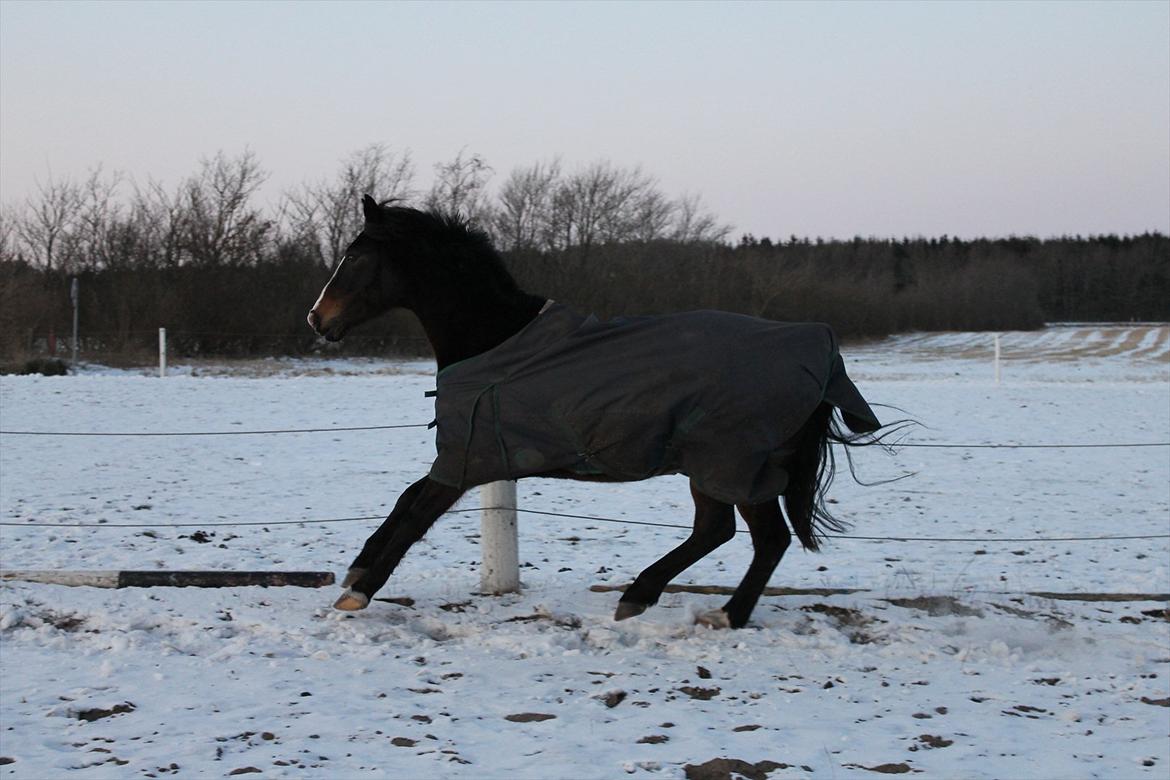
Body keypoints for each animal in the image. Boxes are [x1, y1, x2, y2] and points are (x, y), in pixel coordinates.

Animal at [306, 195, 879, 626]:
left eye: (355, 257)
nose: (316, 318)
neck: (495, 340)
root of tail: (817, 349)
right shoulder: (468, 457)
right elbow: (406, 500)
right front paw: (356, 571)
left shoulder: (468, 458)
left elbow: (416, 514)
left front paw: (359, 592)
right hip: (715, 467)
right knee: (725, 532)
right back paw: (654, 598)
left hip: (730, 463)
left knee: (757, 536)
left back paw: (712, 612)